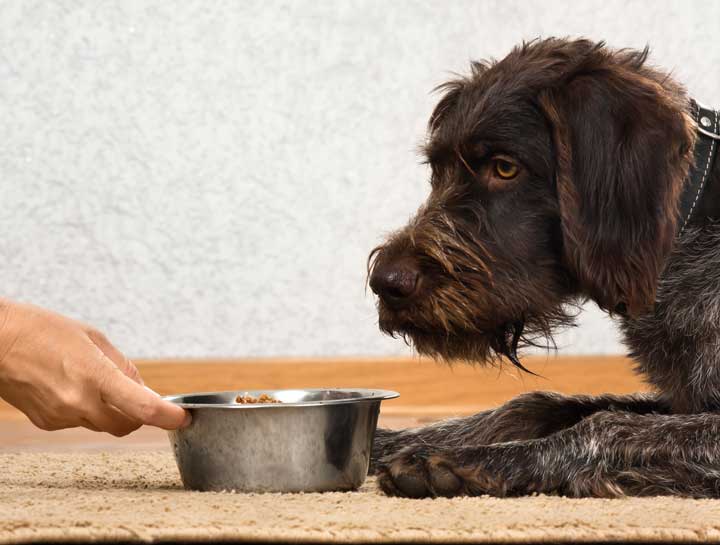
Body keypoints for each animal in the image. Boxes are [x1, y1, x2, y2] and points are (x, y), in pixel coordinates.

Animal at [368, 38, 720, 498]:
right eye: (437, 170)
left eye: (505, 167)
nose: (384, 282)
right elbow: (535, 405)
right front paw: (384, 440)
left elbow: (608, 426)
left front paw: (476, 460)